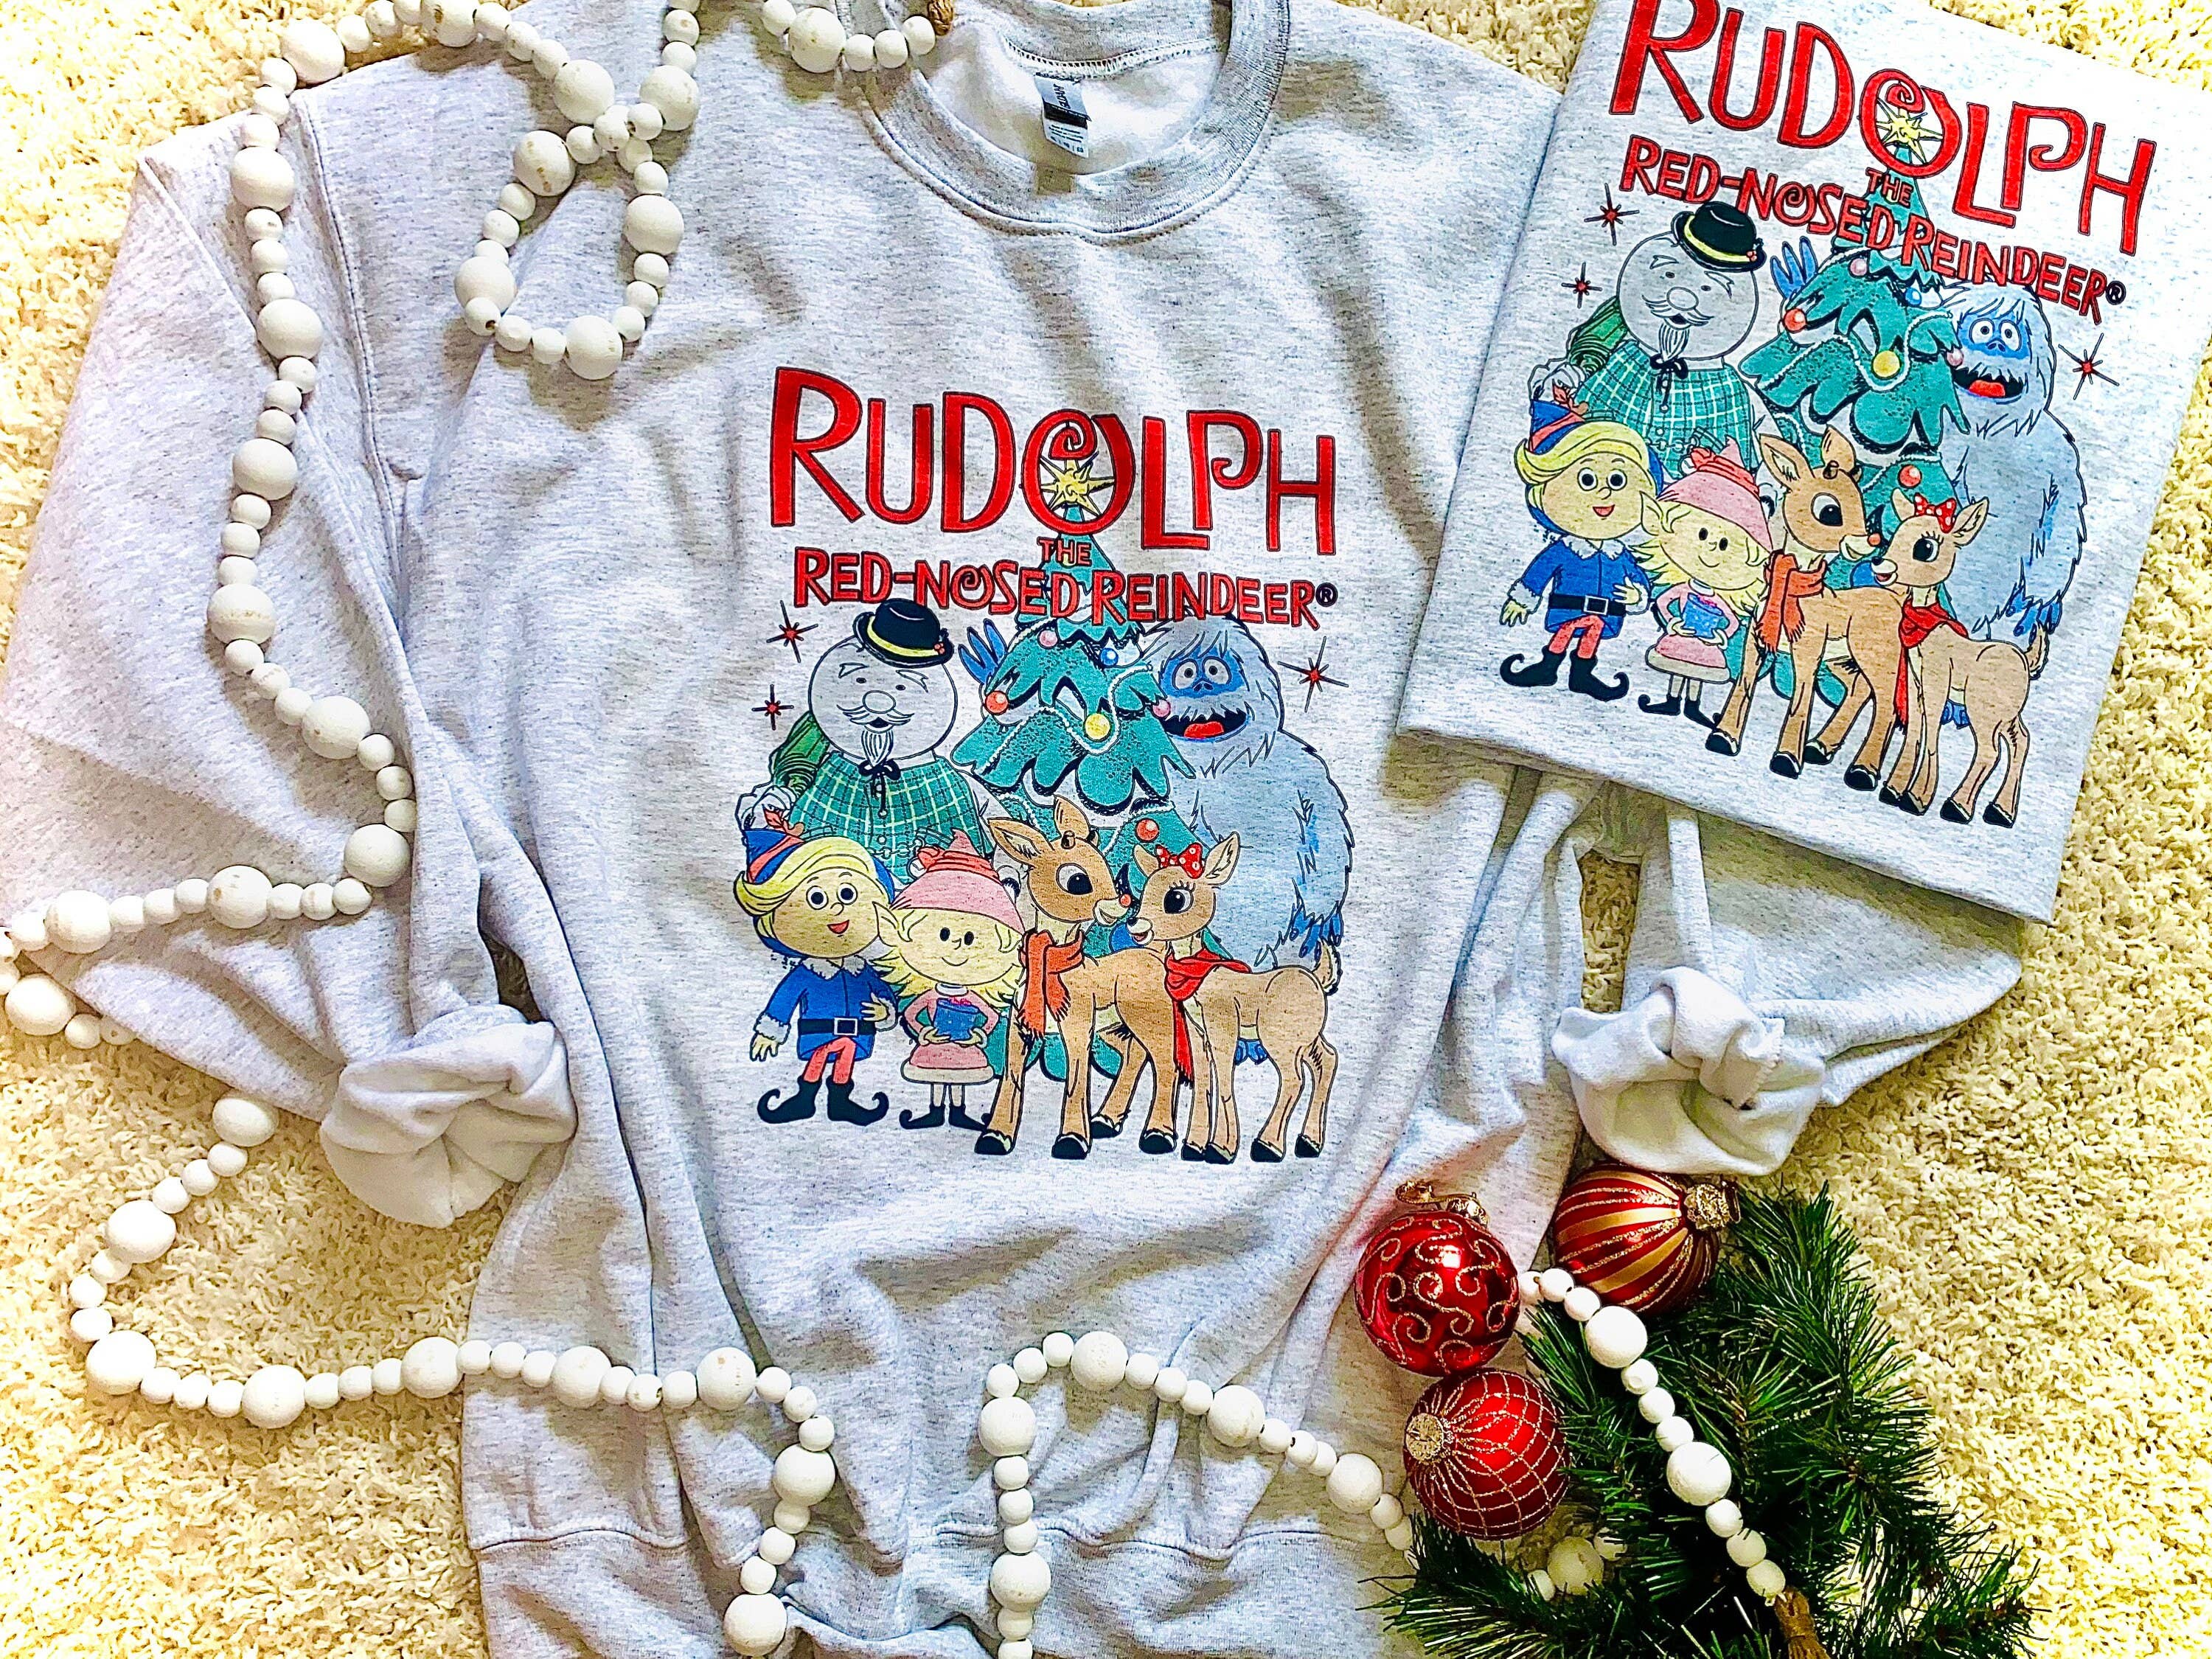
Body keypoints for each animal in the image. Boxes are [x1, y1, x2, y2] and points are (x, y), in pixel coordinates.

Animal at [1122, 834, 1340, 1165]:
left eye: (1176, 898)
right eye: (1145, 890)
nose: (1136, 924)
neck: (1199, 975)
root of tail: (1318, 978)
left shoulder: (1222, 1025)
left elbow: (1224, 1079)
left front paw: (1221, 1149)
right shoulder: (1198, 1030)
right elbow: (1203, 1079)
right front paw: (1194, 1146)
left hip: (1280, 1040)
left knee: (1294, 1079)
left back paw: (1267, 1146)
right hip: (1306, 1037)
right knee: (1326, 1062)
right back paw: (1308, 1142)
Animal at [1707, 428, 1904, 787]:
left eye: (1861, 504)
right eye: (1829, 511)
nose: (1871, 541)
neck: (1793, 589)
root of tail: (1895, 596)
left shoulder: (1808, 652)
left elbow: (1801, 701)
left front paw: (1786, 759)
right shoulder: (1756, 643)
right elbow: (1743, 686)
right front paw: (1723, 737)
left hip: (1877, 658)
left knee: (1886, 706)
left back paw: (1863, 771)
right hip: (1843, 659)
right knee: (1859, 690)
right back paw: (1820, 748)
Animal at [1878, 490, 2038, 826]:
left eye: (1925, 547)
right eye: (1896, 534)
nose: (1882, 568)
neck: (1925, 629)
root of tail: (2025, 660)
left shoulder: (1937, 682)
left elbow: (1932, 734)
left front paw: (1917, 798)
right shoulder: (1916, 683)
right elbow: (1915, 731)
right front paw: (1893, 790)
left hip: (1983, 710)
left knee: (1991, 751)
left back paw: (1957, 806)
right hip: (2006, 714)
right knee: (2021, 742)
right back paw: (2001, 811)